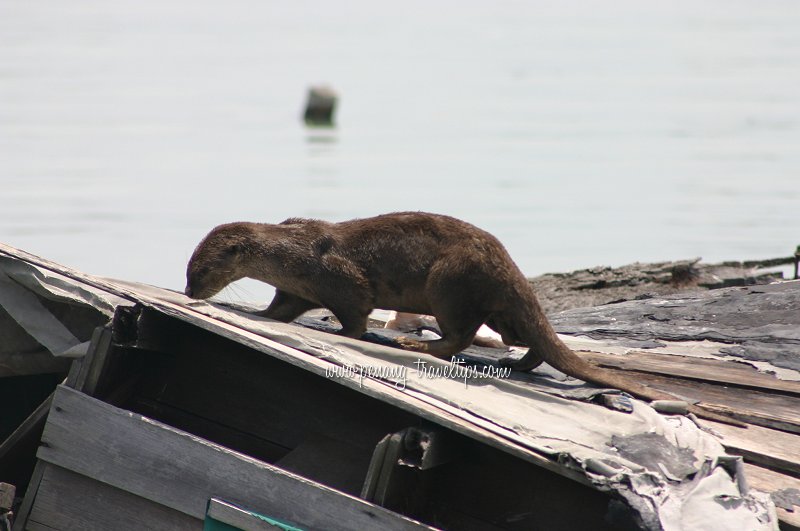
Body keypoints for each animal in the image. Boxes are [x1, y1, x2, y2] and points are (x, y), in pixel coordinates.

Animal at [184, 212, 740, 424]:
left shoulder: (339, 280)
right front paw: (260, 312)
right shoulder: (295, 287)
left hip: (450, 281)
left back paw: (412, 345)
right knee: (527, 340)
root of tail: (509, 267)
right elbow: (281, 307)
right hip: (497, 304)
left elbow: (355, 314)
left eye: (201, 270)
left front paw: (342, 331)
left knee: (459, 335)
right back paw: (517, 364)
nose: (189, 290)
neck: (290, 251)